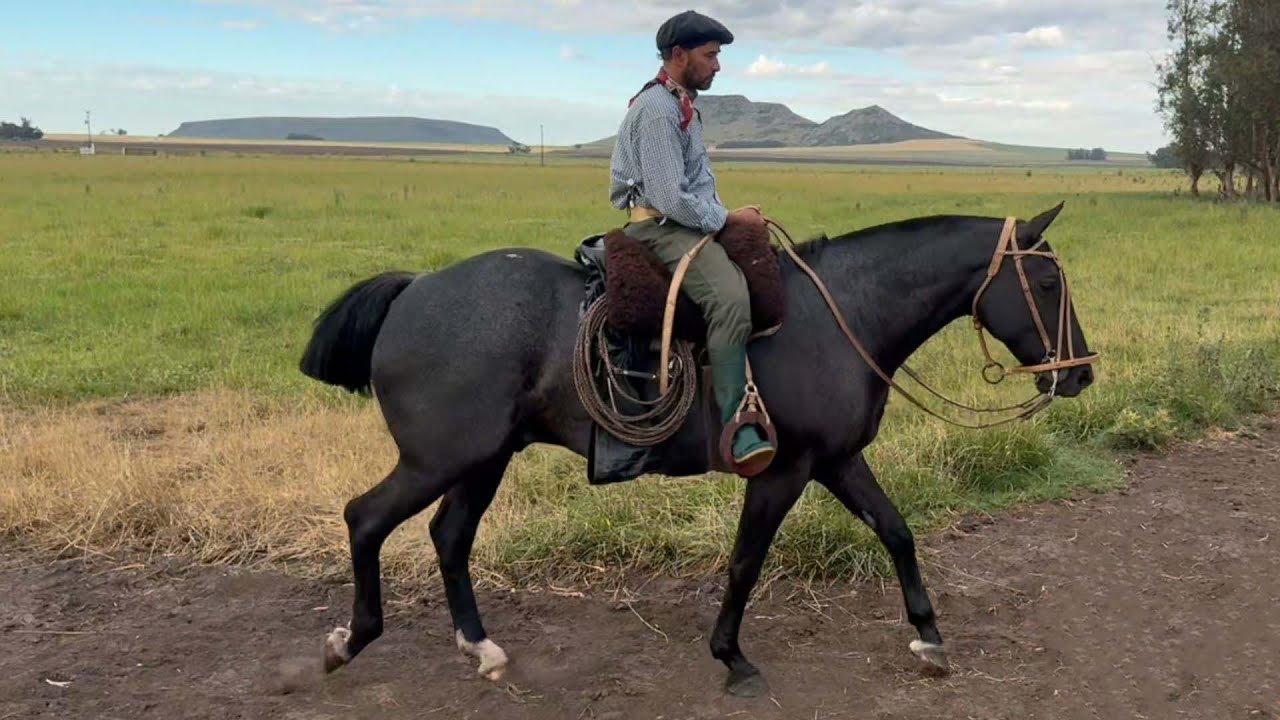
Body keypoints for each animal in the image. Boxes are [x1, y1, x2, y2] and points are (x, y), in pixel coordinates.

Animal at [299, 202, 1096, 697]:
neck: (843, 313)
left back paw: (479, 648)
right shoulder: (784, 469)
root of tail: (415, 289)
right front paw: (732, 657)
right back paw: (347, 641)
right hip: (437, 460)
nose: (1081, 372)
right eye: (1045, 280)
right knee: (366, 518)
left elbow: (896, 531)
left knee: (449, 536)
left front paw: (929, 638)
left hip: (482, 459)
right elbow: (745, 560)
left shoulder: (836, 460)